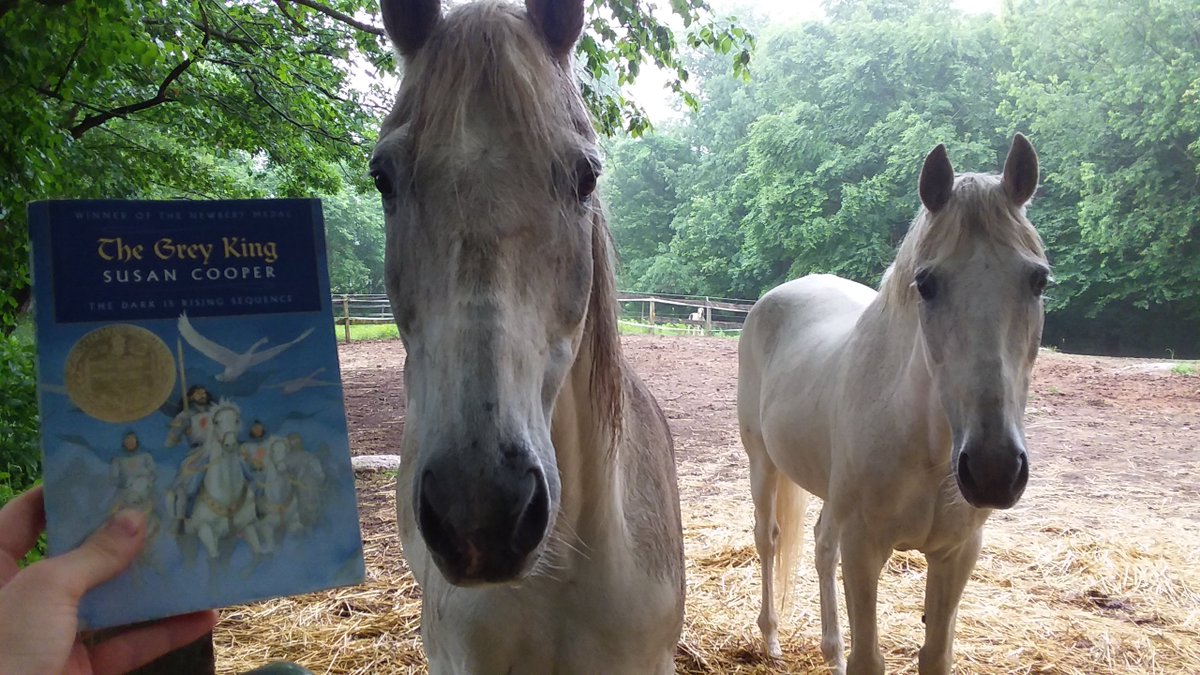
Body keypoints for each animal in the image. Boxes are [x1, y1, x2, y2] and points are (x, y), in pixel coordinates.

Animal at [183, 399, 264, 559]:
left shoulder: (247, 526)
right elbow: (215, 558)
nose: (230, 444)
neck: (227, 495)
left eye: (236, 420)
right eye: (216, 422)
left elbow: (257, 552)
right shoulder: (206, 533)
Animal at [738, 135, 1046, 674]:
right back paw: (772, 637)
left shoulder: (956, 554)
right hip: (763, 463)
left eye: (1038, 280)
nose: (993, 471)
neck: (926, 445)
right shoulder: (865, 548)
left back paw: (830, 652)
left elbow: (935, 654)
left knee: (821, 544)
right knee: (769, 538)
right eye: (926, 284)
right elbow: (870, 657)